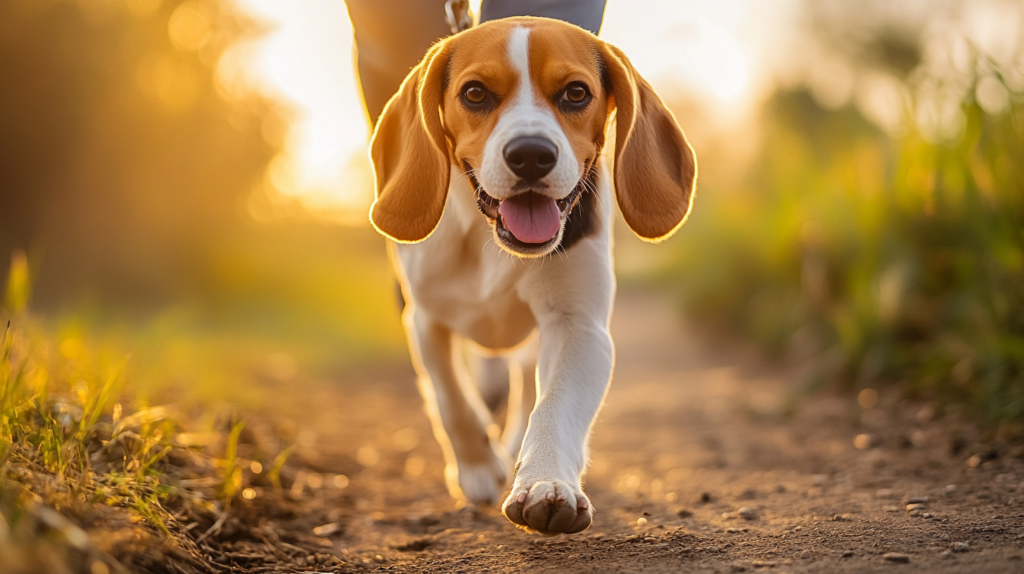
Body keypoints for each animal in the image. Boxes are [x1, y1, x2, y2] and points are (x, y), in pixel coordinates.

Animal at [368, 15, 696, 532]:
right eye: (475, 93)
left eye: (576, 93)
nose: (530, 154)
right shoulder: (424, 318)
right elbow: (450, 397)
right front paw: (478, 468)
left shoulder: (577, 326)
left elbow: (553, 407)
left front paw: (545, 482)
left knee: (525, 389)